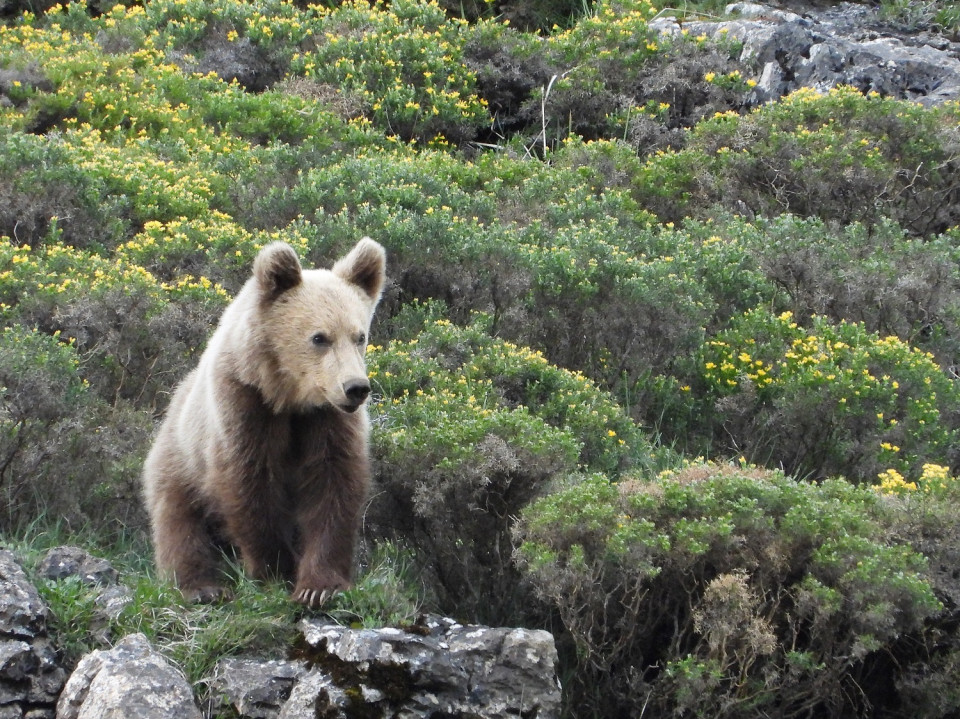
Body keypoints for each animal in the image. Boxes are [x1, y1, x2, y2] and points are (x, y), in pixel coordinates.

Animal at [142, 238, 386, 608]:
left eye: (359, 335)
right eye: (319, 337)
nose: (355, 388)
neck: (289, 397)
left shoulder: (326, 421)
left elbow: (333, 485)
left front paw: (319, 587)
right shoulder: (245, 406)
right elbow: (250, 484)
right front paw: (275, 570)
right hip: (179, 460)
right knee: (178, 523)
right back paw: (202, 587)